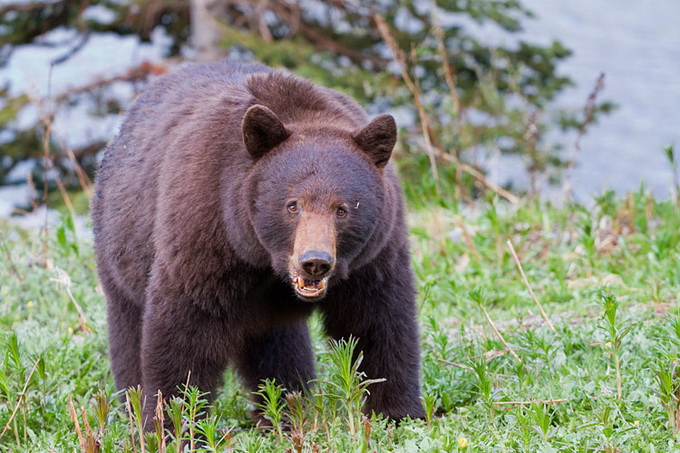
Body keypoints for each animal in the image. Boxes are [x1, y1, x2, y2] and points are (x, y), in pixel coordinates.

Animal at [91, 59, 424, 424]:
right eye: (292, 205)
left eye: (343, 209)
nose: (315, 261)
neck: (264, 260)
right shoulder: (207, 230)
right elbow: (184, 328)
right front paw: (173, 420)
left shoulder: (375, 254)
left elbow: (380, 322)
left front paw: (399, 412)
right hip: (120, 250)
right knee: (127, 331)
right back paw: (132, 405)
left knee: (277, 346)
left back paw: (286, 406)